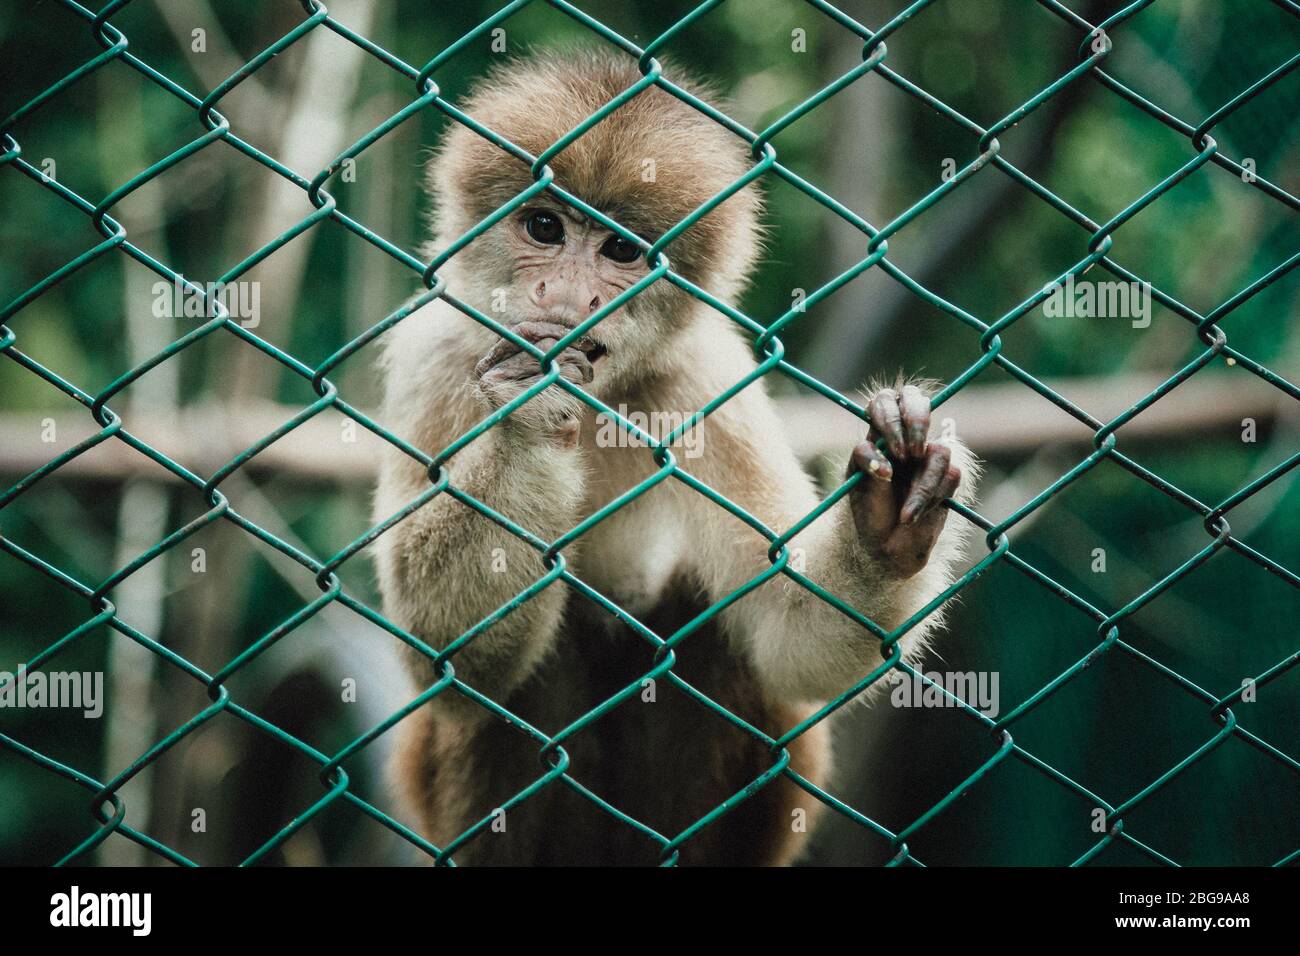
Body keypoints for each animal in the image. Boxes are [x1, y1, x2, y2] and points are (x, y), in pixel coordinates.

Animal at [372, 49, 977, 866]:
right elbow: (442, 665)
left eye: (620, 250)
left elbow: (792, 636)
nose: (566, 292)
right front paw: (529, 417)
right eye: (544, 226)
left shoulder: (706, 377)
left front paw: (884, 526)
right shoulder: (434, 351)